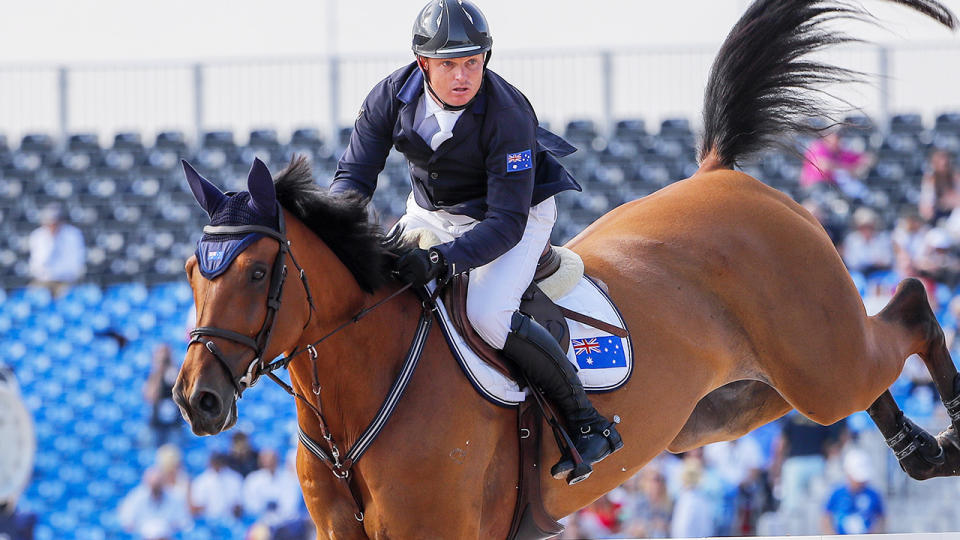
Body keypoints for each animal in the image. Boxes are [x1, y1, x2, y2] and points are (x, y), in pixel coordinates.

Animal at [174, 0, 960, 536]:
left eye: (256, 274)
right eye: (192, 271)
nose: (195, 400)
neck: (359, 389)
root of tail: (722, 176)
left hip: (816, 363)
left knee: (909, 309)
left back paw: (945, 438)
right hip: (726, 405)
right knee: (861, 375)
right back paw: (920, 449)